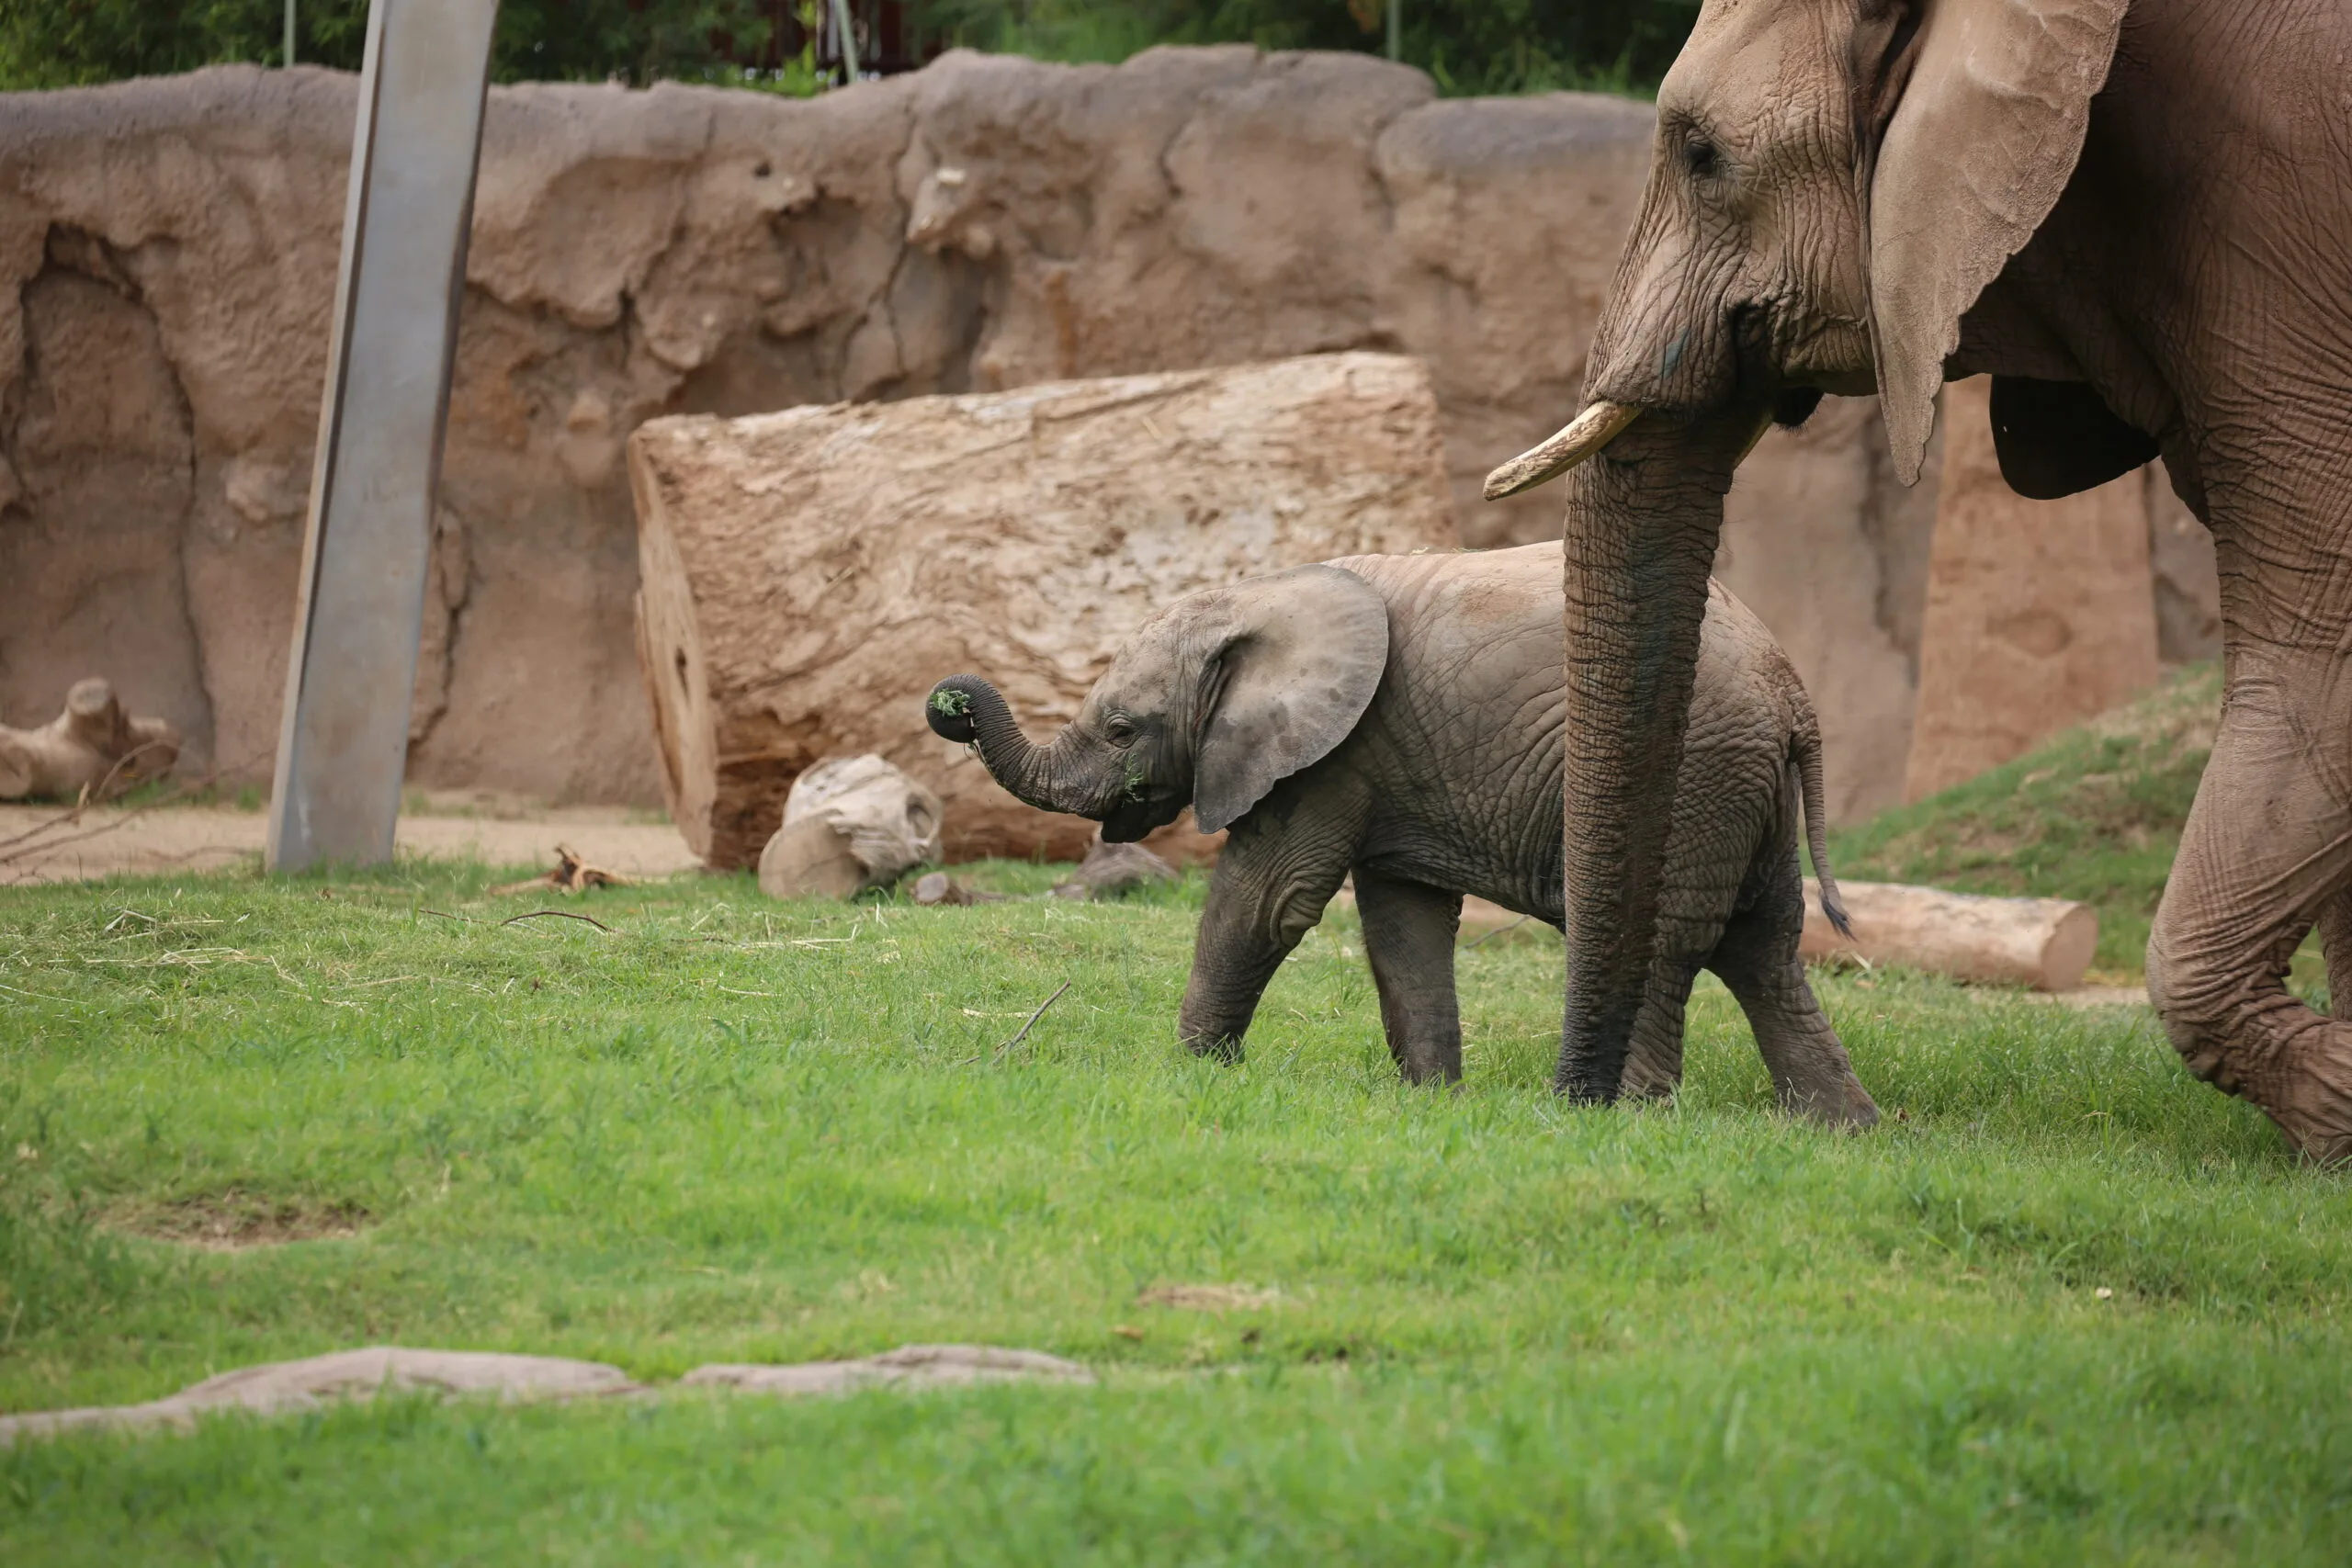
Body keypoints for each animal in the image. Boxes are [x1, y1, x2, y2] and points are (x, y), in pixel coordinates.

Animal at [926, 543, 1882, 1128]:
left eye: (1124, 729)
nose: (949, 704)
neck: (1265, 595)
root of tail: (1793, 694)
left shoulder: (1329, 753)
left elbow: (1267, 900)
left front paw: (1195, 1072)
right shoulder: (1385, 763)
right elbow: (1403, 924)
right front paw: (1433, 1103)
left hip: (1691, 773)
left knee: (1670, 940)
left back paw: (1632, 1117)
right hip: (1739, 787)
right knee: (1765, 948)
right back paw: (1841, 1129)